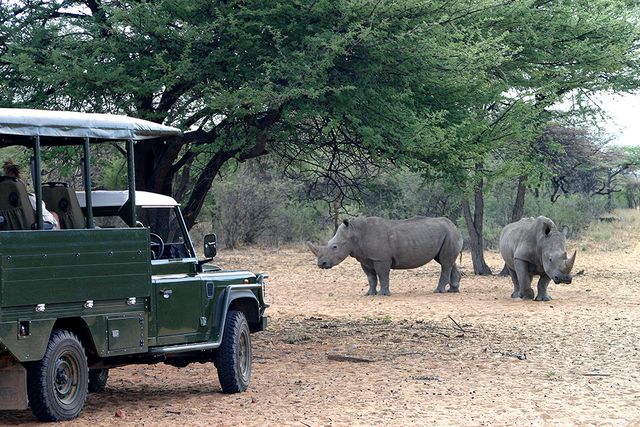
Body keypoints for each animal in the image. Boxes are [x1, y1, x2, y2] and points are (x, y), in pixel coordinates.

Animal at [307, 216, 463, 296]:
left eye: (335, 247)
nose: (321, 264)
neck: (354, 233)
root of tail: (455, 227)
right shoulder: (365, 259)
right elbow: (371, 278)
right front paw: (369, 294)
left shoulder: (381, 258)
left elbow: (382, 275)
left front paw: (383, 294)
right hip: (448, 234)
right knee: (447, 261)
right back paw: (453, 290)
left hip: (449, 234)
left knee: (445, 263)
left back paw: (438, 292)